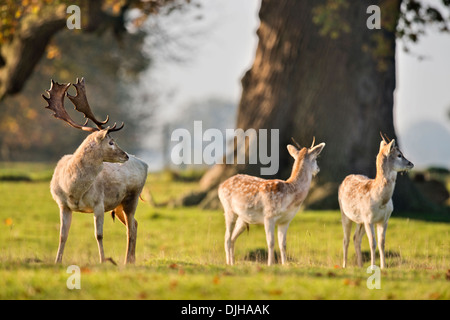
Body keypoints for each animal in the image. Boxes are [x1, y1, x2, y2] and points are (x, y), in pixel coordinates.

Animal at [42, 77, 149, 264]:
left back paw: (127, 261)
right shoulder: (63, 205)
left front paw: (103, 261)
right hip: (119, 204)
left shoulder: (99, 203)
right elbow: (62, 236)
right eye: (111, 142)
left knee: (131, 228)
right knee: (135, 224)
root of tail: (145, 164)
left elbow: (99, 235)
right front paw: (57, 261)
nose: (125, 155)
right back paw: (131, 260)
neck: (72, 189)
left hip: (132, 197)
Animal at [338, 133, 414, 270]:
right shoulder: (368, 219)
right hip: (344, 213)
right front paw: (373, 266)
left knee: (356, 238)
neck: (381, 201)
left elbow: (381, 242)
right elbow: (372, 243)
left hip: (360, 221)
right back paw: (344, 266)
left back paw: (360, 266)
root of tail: (345, 179)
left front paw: (383, 266)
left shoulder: (384, 219)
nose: (411, 164)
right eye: (399, 155)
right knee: (346, 240)